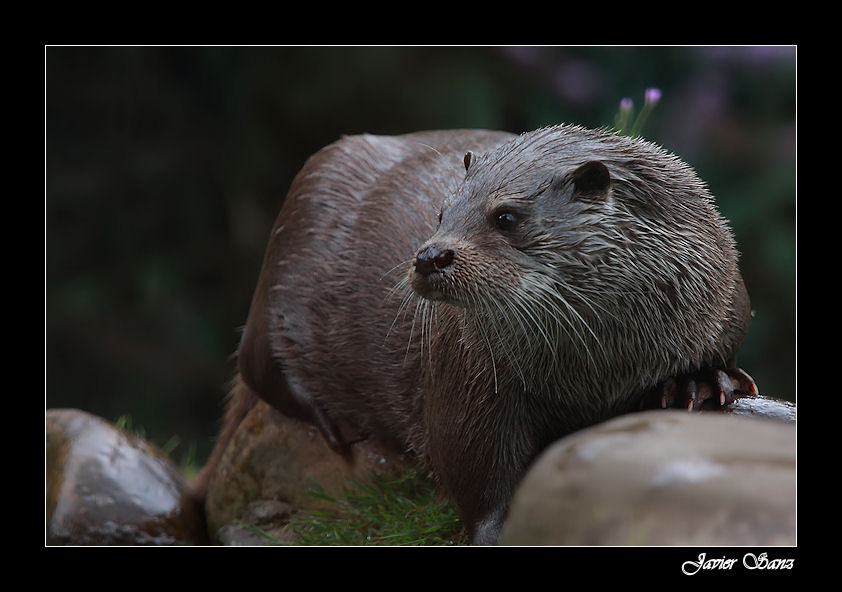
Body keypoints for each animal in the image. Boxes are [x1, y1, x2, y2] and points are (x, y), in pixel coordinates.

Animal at [195, 126, 756, 544]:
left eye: (506, 216)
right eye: (443, 213)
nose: (429, 255)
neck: (599, 370)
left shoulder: (725, 296)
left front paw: (696, 382)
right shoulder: (467, 374)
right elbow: (472, 463)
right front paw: (500, 530)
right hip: (296, 236)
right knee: (258, 363)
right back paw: (335, 421)